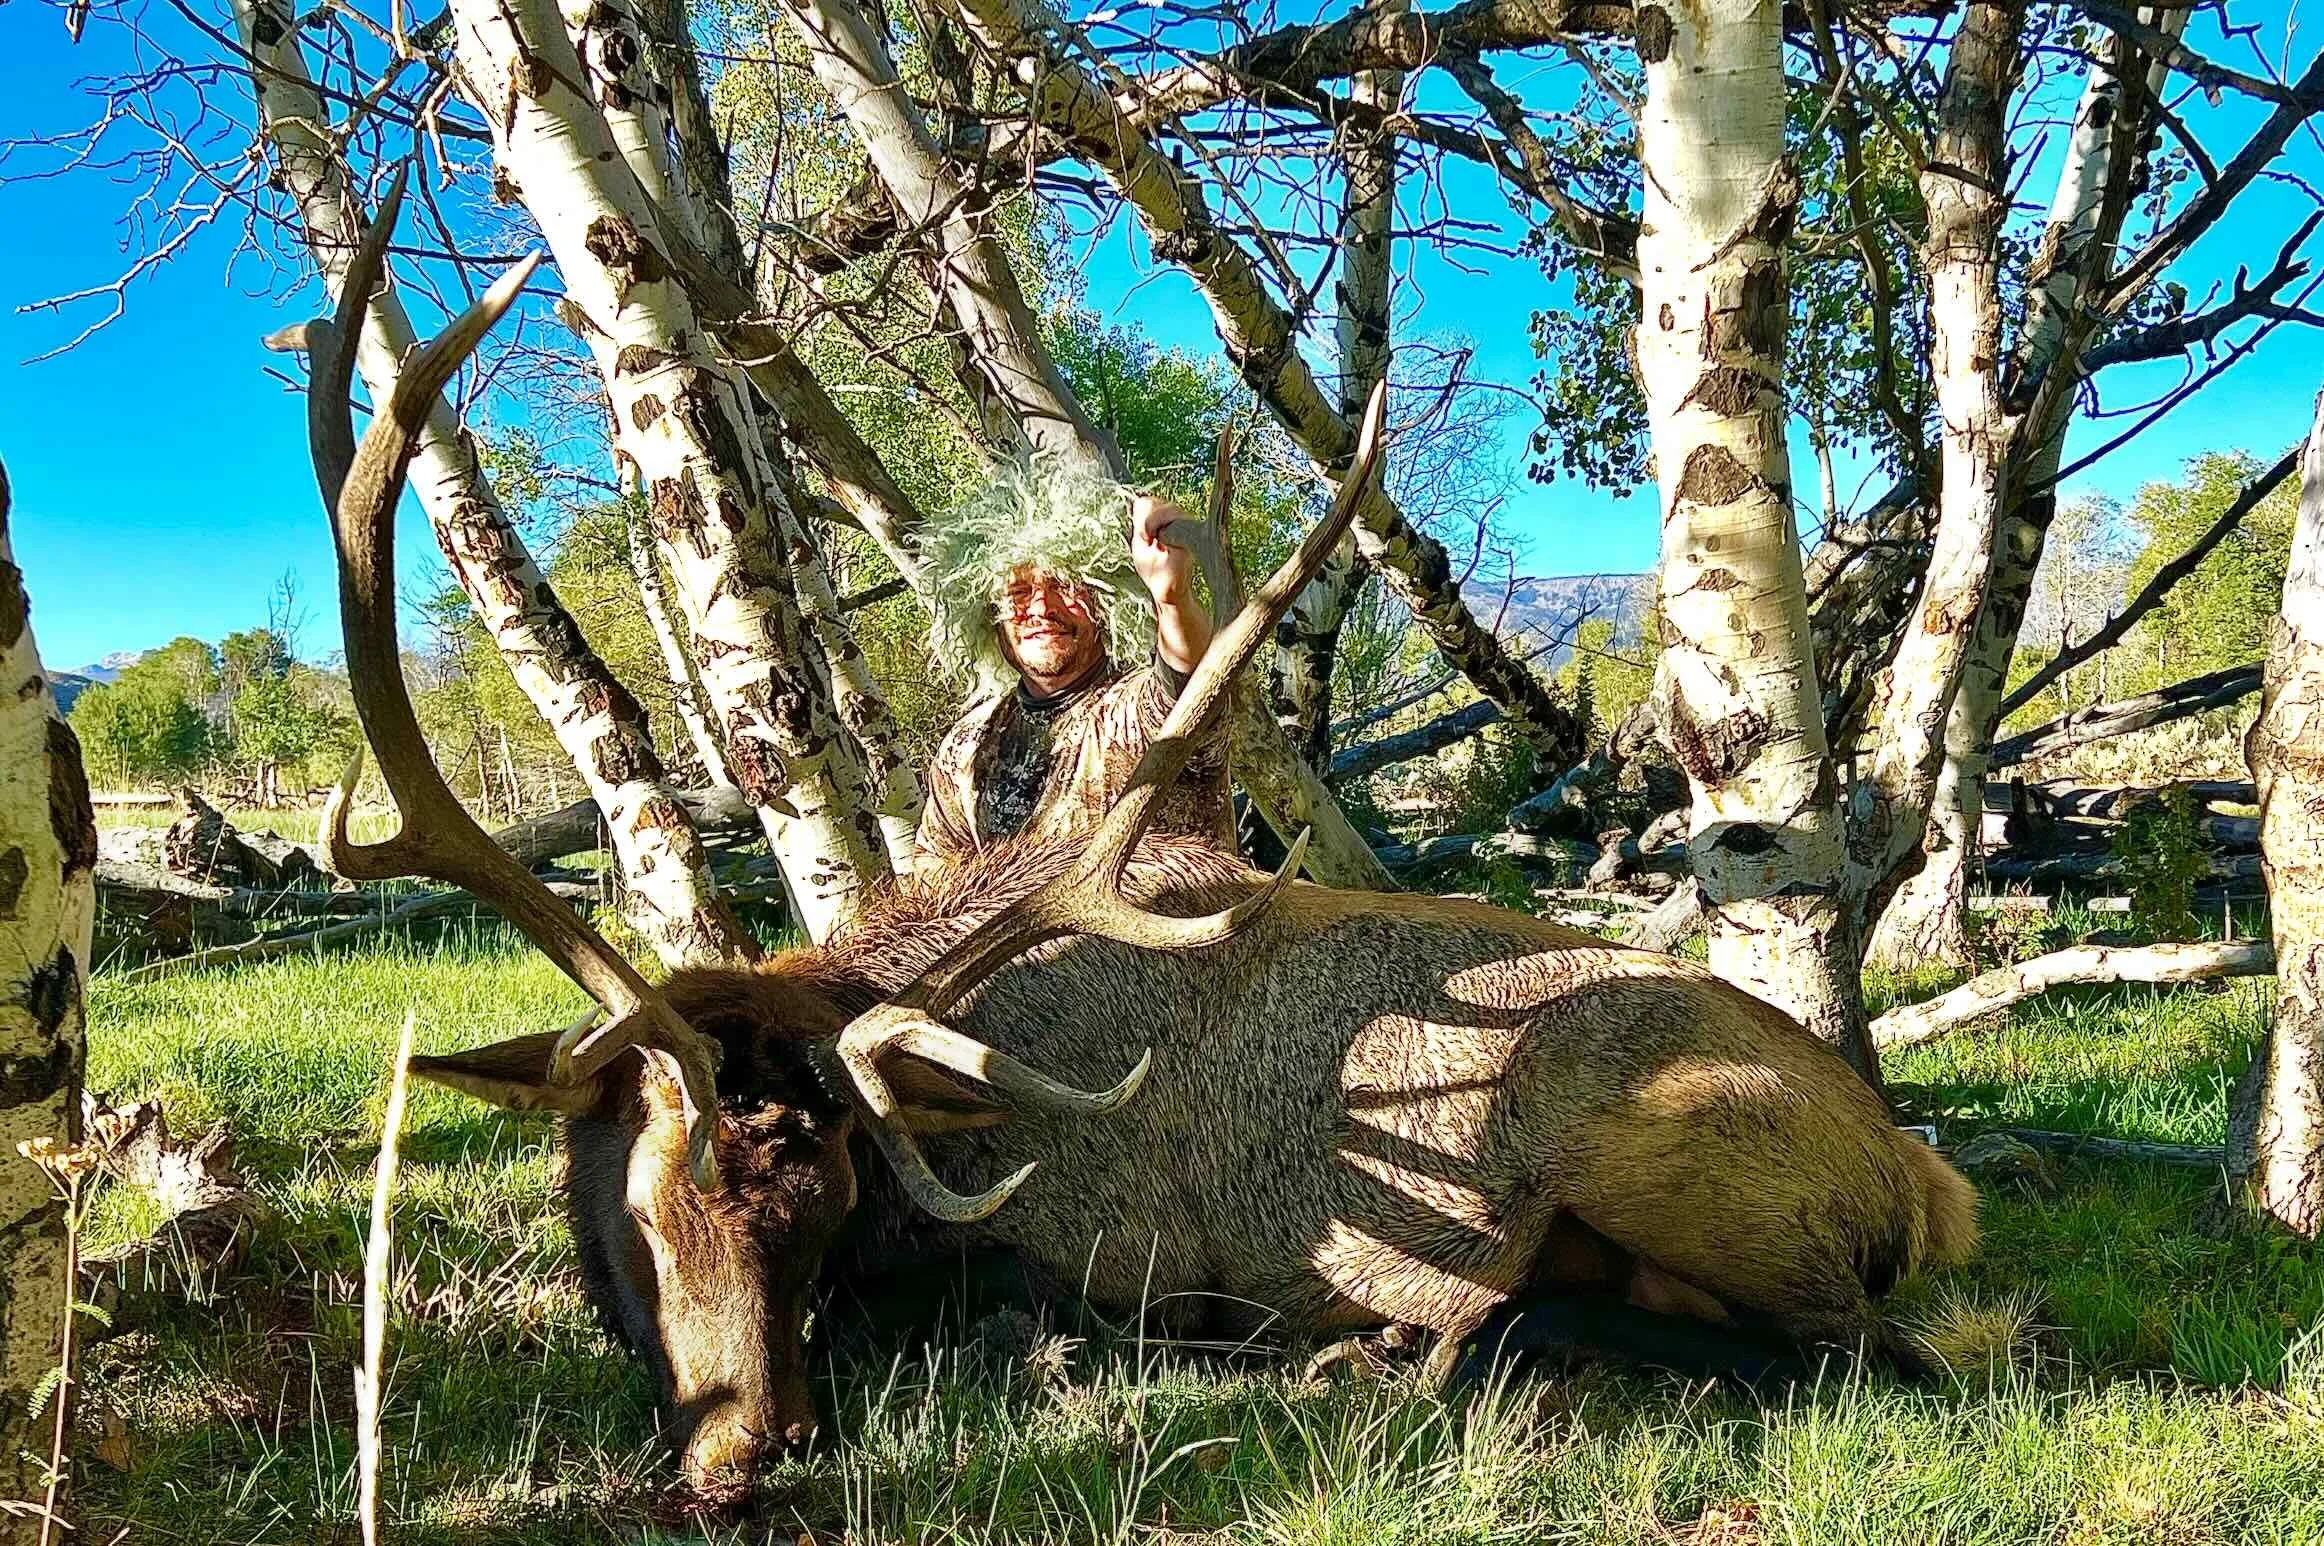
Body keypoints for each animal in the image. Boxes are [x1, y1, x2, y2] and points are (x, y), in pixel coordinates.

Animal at [306, 201, 1978, 1493]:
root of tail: (1916, 1174)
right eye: (635, 1214)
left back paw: (1403, 1352)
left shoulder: (1116, 1253)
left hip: (1659, 1149)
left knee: (1864, 1352)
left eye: (823, 1193)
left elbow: (1026, 1317)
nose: (746, 1456)